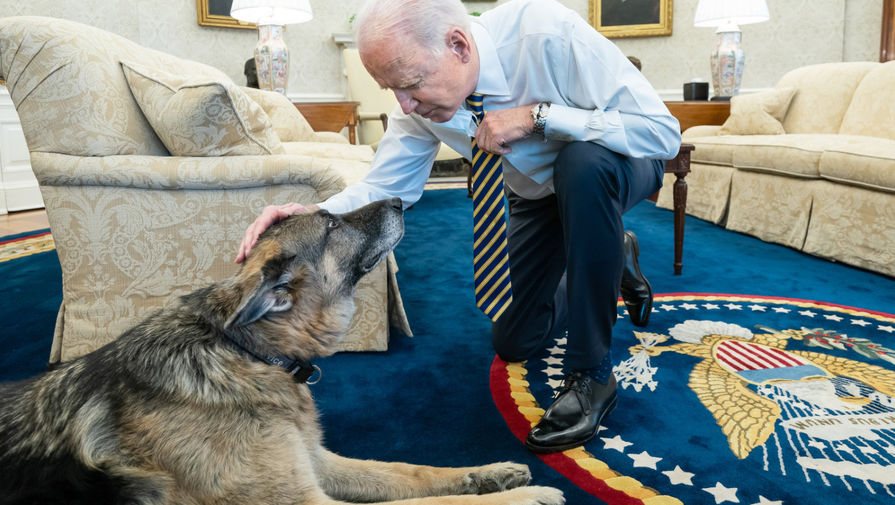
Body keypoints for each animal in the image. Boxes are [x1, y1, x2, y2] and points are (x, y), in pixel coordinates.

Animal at [0, 198, 568, 504]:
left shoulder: (317, 462)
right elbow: (433, 503)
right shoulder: (306, 496)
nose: (399, 201)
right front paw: (526, 496)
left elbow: (413, 474)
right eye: (332, 225)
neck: (245, 352)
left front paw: (489, 475)